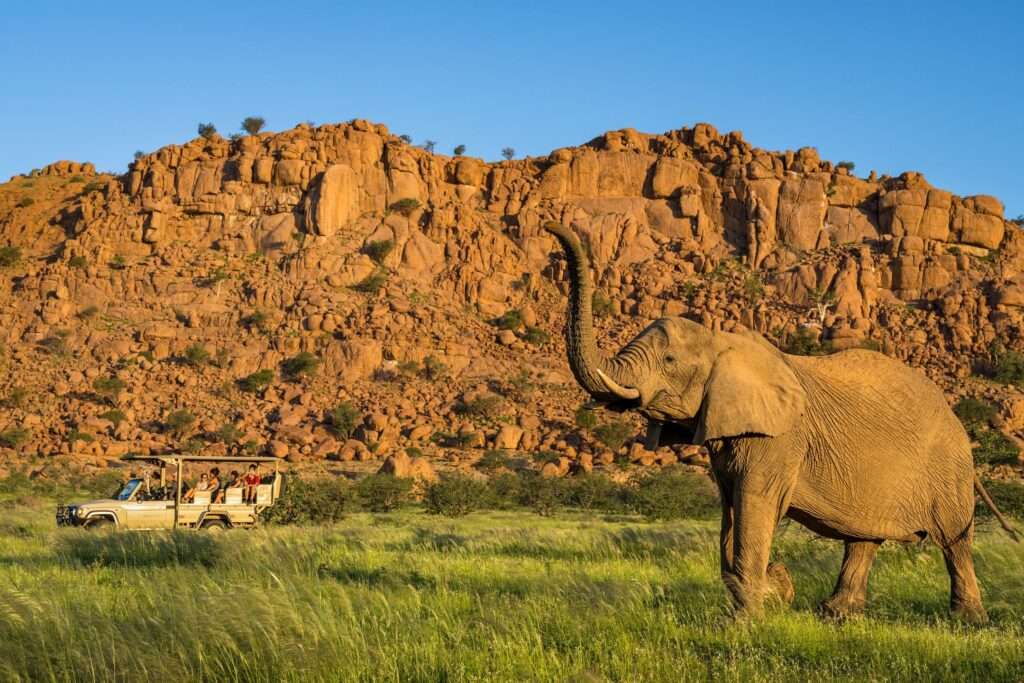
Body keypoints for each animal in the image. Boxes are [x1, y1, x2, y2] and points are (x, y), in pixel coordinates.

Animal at [544, 222, 1015, 622]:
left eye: (670, 360)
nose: (551, 224)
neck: (725, 341)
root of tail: (957, 422)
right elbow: (731, 508)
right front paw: (769, 596)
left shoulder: (779, 439)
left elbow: (754, 503)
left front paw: (747, 619)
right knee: (864, 539)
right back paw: (835, 615)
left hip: (948, 470)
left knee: (955, 541)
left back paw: (968, 621)